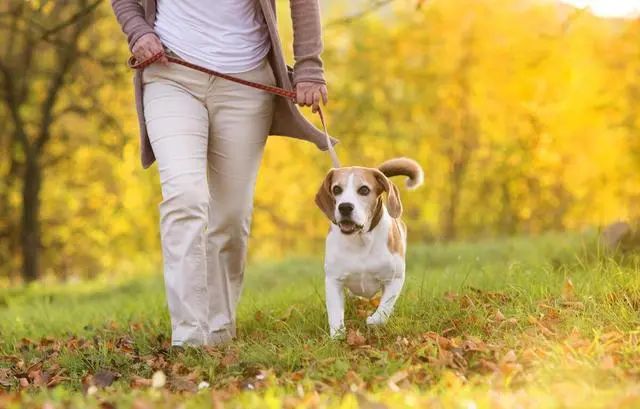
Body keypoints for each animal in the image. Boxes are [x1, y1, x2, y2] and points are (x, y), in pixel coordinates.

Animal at [314, 158, 422, 336]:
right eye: (336, 189)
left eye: (364, 190)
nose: (345, 207)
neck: (361, 240)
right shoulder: (333, 280)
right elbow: (335, 313)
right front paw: (337, 336)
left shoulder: (395, 279)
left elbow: (384, 308)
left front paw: (373, 320)